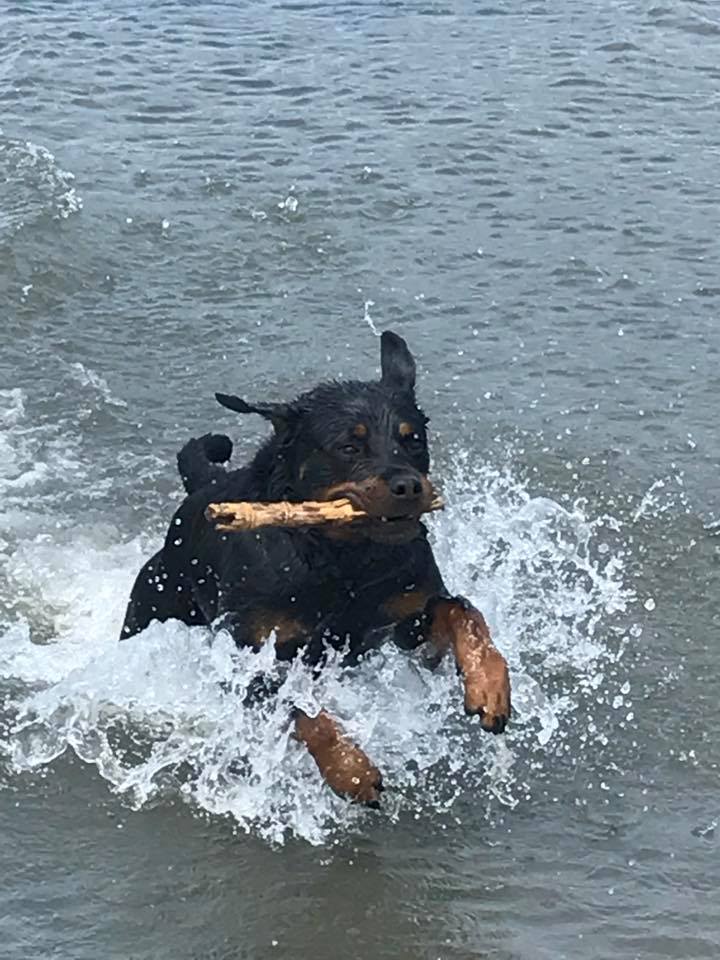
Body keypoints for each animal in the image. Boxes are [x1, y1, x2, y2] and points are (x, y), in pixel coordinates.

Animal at [121, 334, 510, 808]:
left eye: (413, 439)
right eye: (349, 446)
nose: (408, 485)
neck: (343, 561)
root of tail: (203, 486)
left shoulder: (407, 625)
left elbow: (461, 611)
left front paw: (489, 685)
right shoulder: (254, 655)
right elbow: (301, 711)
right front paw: (351, 771)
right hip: (149, 607)